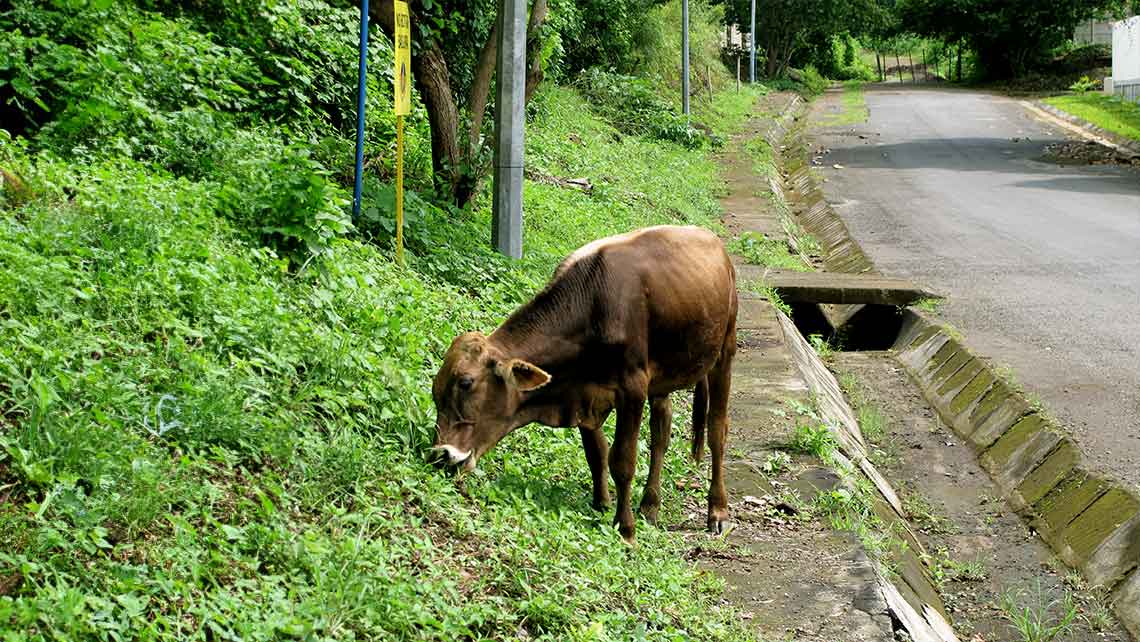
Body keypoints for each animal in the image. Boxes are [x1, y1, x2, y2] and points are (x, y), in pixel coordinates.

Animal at [428, 225, 738, 542]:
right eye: (435, 391)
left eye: (466, 382)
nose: (441, 455)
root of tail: (713, 242)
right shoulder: (582, 392)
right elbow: (596, 453)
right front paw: (601, 504)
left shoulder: (633, 387)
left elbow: (622, 461)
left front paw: (625, 528)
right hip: (663, 376)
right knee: (661, 432)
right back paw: (649, 506)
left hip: (725, 349)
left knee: (717, 430)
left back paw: (717, 511)